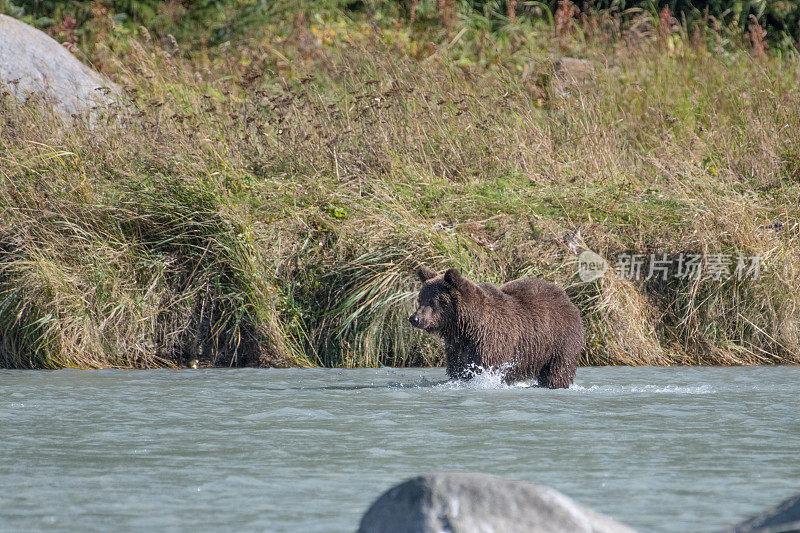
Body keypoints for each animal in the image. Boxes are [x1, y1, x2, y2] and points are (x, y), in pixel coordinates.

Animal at [410, 266, 584, 386]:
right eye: (420, 299)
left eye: (434, 300)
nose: (414, 318)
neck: (466, 327)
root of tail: (567, 299)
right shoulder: (458, 349)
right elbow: (458, 370)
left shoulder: (491, 342)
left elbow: (486, 367)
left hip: (559, 342)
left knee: (558, 371)